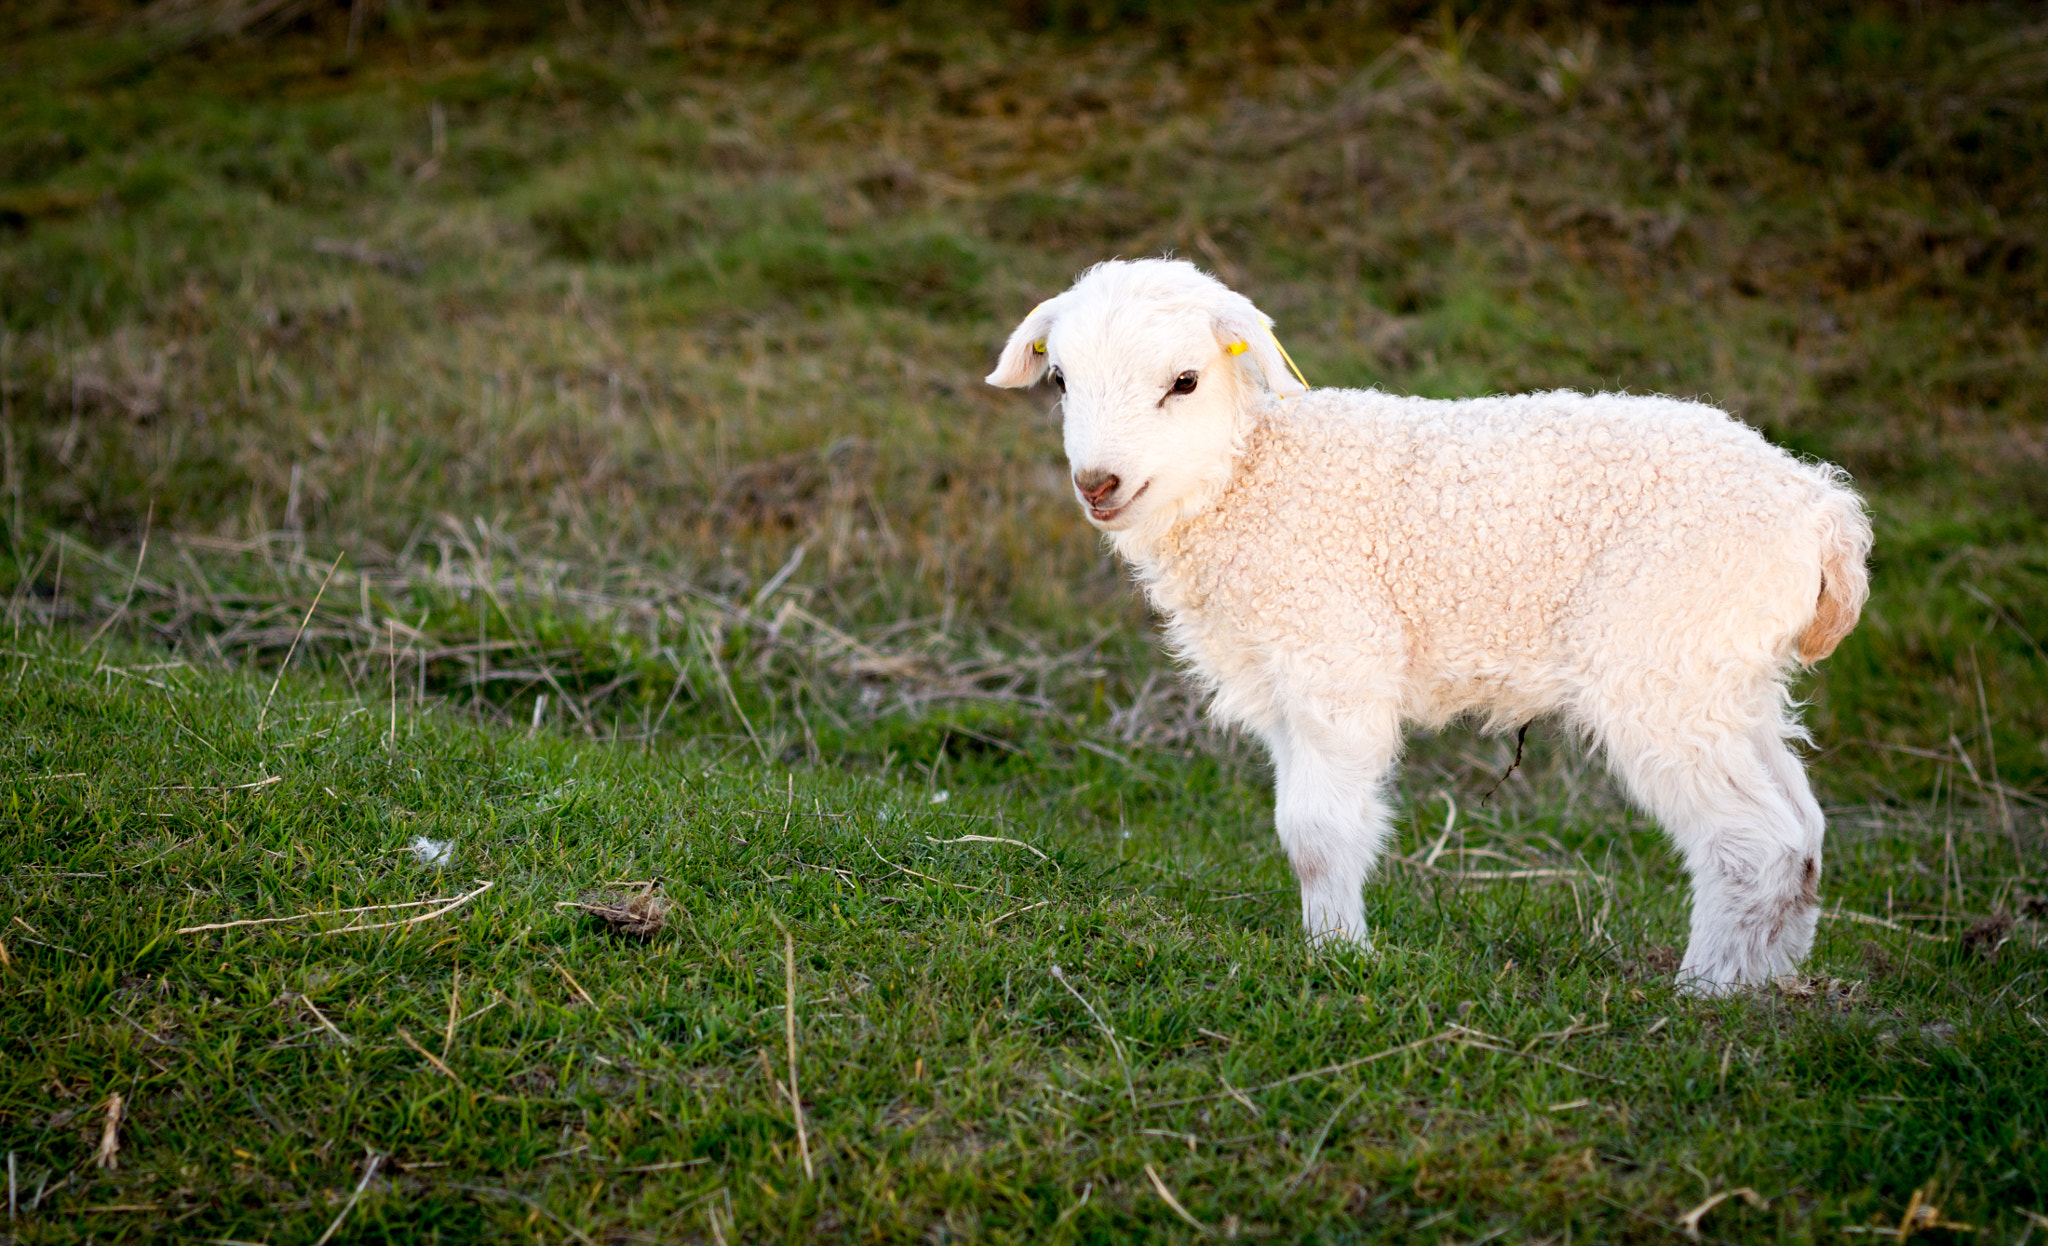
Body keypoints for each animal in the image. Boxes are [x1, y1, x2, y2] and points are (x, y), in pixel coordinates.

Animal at [985, 258, 1871, 994]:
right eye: (1060, 379)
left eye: (1185, 380)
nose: (1098, 483)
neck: (1251, 475)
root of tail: (1823, 513)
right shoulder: (1280, 679)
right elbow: (1299, 824)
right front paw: (1327, 944)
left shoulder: (1333, 653)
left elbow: (1317, 830)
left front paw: (1340, 956)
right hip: (1729, 670)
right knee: (1802, 831)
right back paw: (1771, 981)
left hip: (1664, 656)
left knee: (1752, 839)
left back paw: (1706, 991)